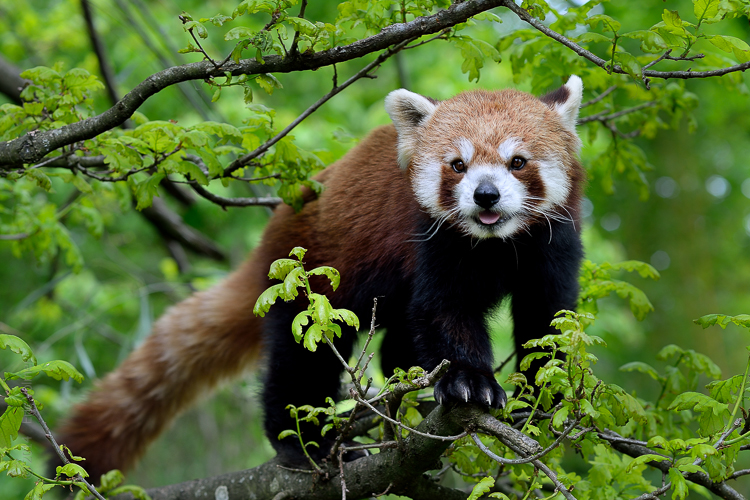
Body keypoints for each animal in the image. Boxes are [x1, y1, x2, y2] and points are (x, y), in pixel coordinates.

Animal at [57, 76, 588, 474]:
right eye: (458, 165)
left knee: (396, 341)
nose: (485, 195)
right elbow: (443, 311)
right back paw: (305, 445)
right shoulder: (431, 242)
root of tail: (274, 232)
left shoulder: (552, 245)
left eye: (517, 162)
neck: (495, 247)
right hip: (308, 277)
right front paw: (470, 381)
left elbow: (548, 319)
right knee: (299, 364)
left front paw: (541, 399)